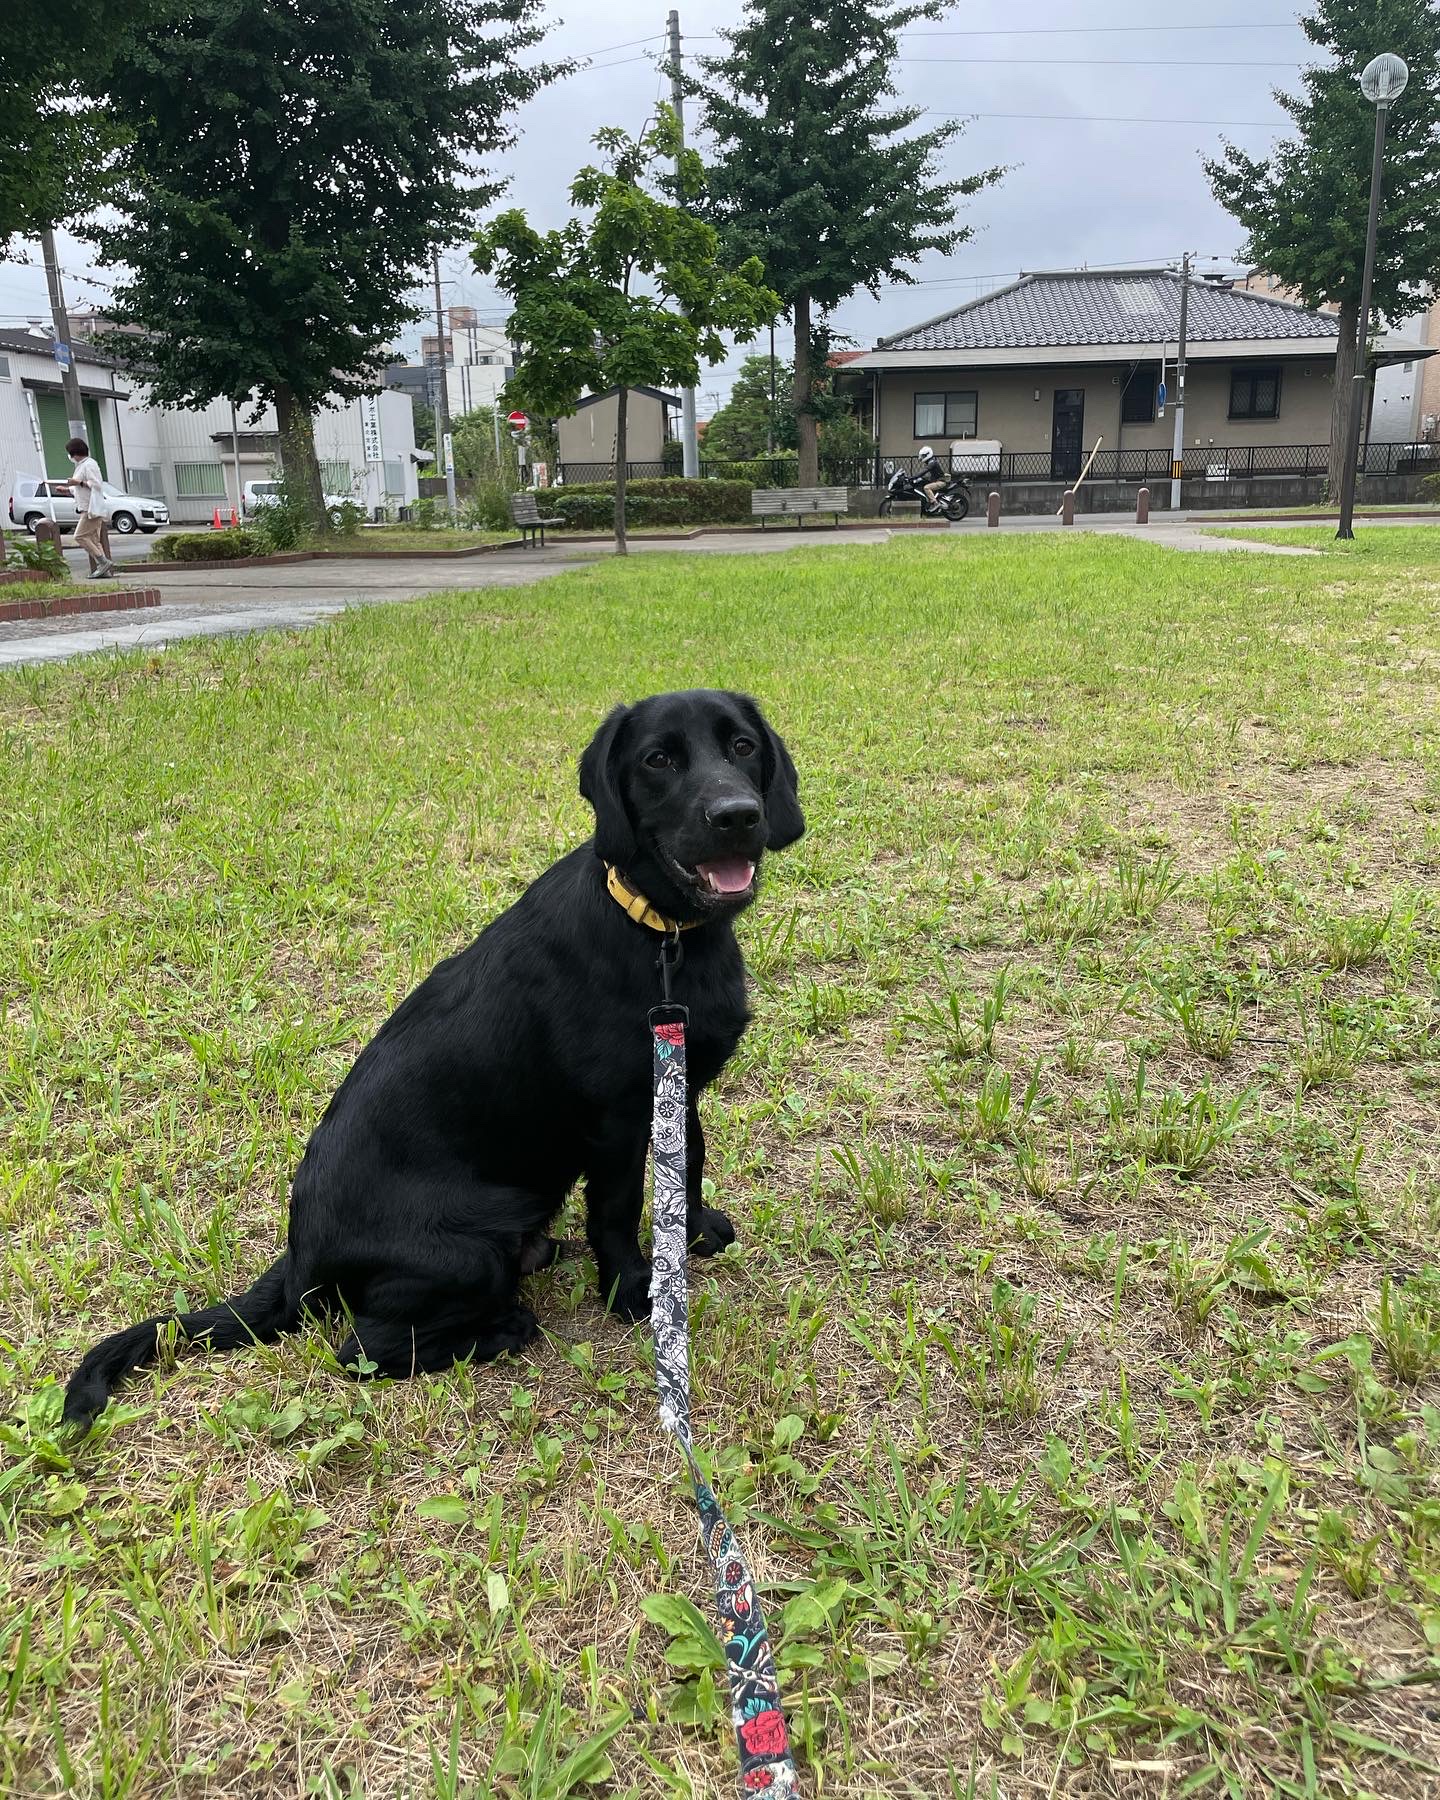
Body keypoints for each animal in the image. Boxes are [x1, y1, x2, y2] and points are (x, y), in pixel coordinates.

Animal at [62, 691, 802, 1432]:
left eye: (742, 747)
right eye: (658, 760)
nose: (738, 816)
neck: (662, 936)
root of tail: (300, 1260)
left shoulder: (680, 1081)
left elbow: (690, 1162)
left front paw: (695, 1231)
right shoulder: (614, 1120)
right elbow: (617, 1212)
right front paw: (635, 1291)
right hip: (470, 1247)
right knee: (361, 1351)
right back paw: (506, 1327)